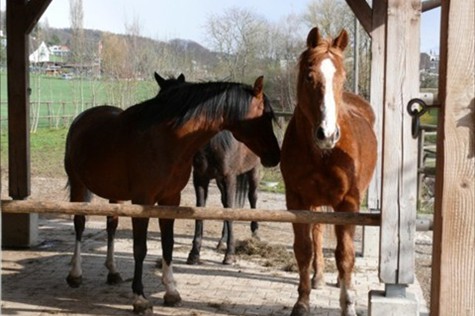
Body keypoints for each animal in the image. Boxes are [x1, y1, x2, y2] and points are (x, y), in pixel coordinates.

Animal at [62, 75, 278, 314]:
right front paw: (140, 298)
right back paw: (75, 274)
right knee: (80, 224)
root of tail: (82, 117)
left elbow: (168, 244)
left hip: (115, 194)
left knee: (111, 226)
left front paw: (172, 292)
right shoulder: (143, 201)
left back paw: (113, 272)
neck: (165, 141)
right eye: (267, 115)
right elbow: (140, 248)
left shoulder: (171, 199)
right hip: (78, 184)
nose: (275, 155)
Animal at [280, 27, 378, 316]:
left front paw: (348, 305)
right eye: (309, 76)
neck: (322, 154)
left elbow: (345, 255)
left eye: (342, 77)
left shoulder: (348, 202)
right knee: (318, 232)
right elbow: (304, 250)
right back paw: (320, 277)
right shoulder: (297, 201)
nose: (328, 134)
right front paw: (302, 302)